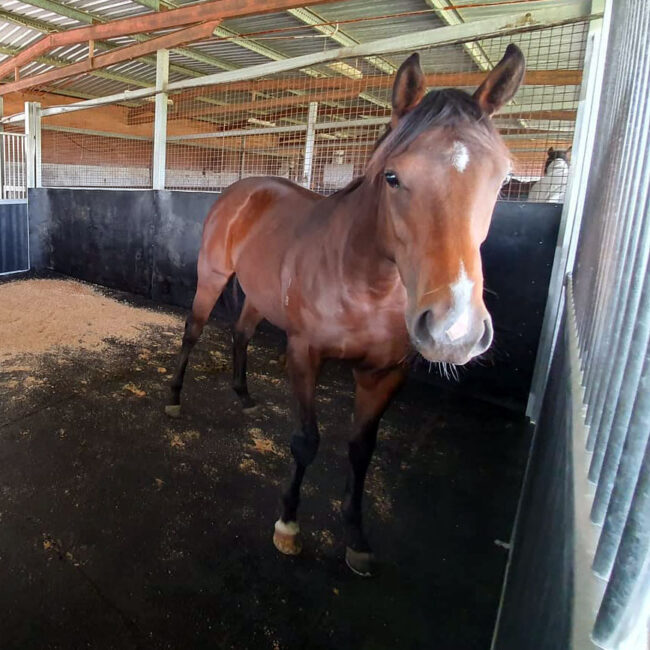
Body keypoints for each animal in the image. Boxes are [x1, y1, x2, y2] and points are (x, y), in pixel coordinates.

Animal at [167, 44, 525, 576]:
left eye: (501, 179)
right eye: (393, 176)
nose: (453, 330)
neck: (366, 285)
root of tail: (241, 189)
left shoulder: (385, 373)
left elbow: (361, 451)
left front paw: (356, 537)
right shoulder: (304, 354)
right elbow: (307, 440)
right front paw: (288, 524)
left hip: (259, 295)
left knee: (241, 333)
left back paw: (244, 393)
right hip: (211, 278)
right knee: (193, 331)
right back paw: (173, 396)